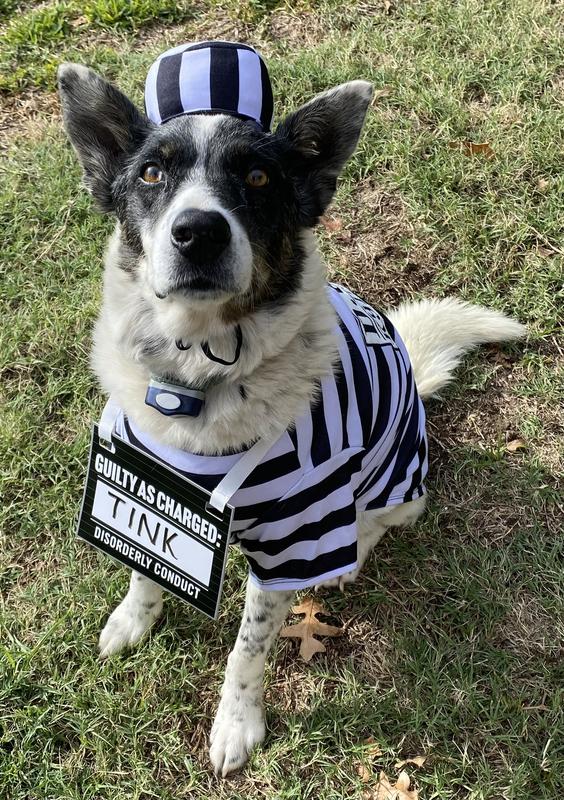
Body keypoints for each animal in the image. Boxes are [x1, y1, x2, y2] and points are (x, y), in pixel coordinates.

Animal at [57, 42, 524, 776]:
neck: (197, 379)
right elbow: (143, 564)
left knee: (376, 523)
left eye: (257, 177)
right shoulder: (135, 476)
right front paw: (134, 618)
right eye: (153, 172)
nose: (197, 232)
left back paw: (351, 554)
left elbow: (248, 651)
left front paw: (235, 725)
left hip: (397, 488)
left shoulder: (294, 536)